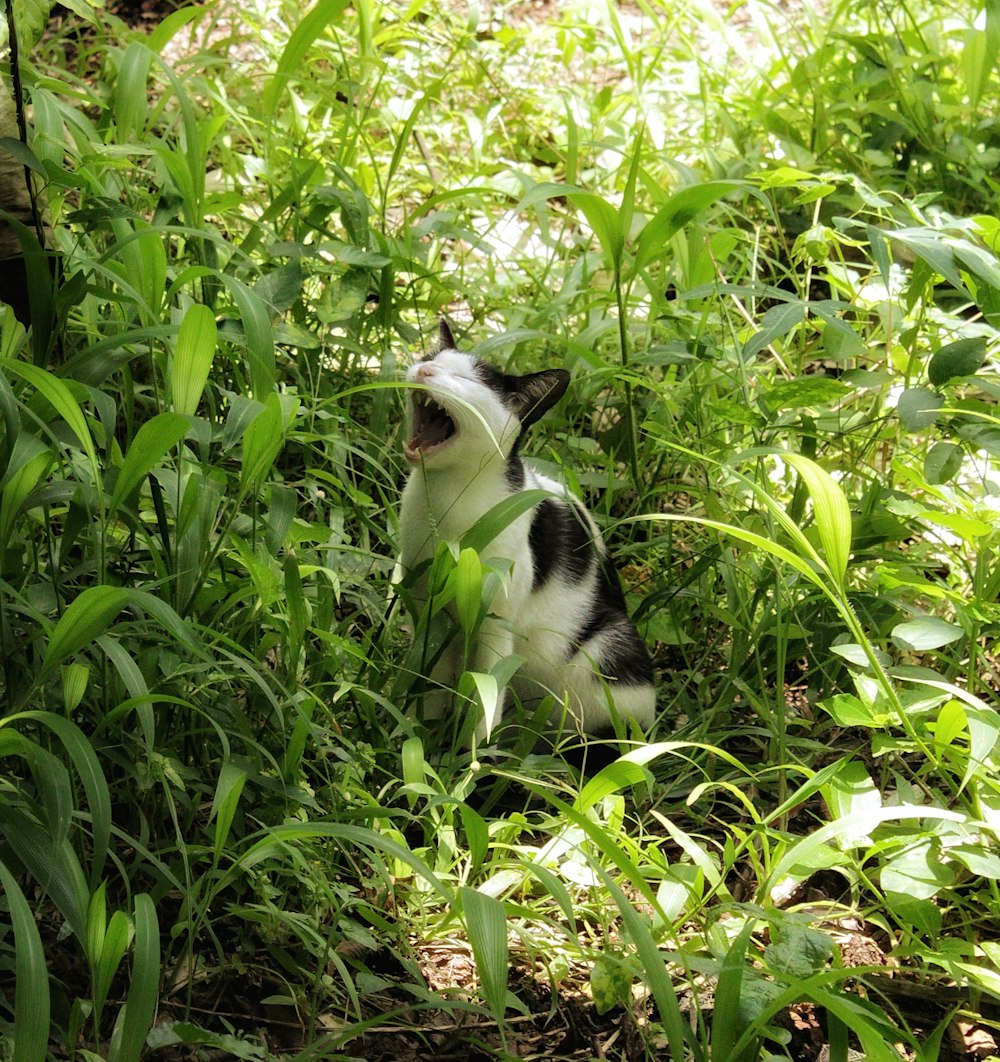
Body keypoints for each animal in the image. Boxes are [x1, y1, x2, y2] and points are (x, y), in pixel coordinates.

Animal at [399, 322, 658, 747]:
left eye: (466, 380)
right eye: (430, 358)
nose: (422, 371)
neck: (449, 498)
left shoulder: (494, 625)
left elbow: (484, 700)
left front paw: (469, 760)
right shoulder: (429, 613)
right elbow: (431, 685)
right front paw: (419, 734)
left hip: (610, 645)